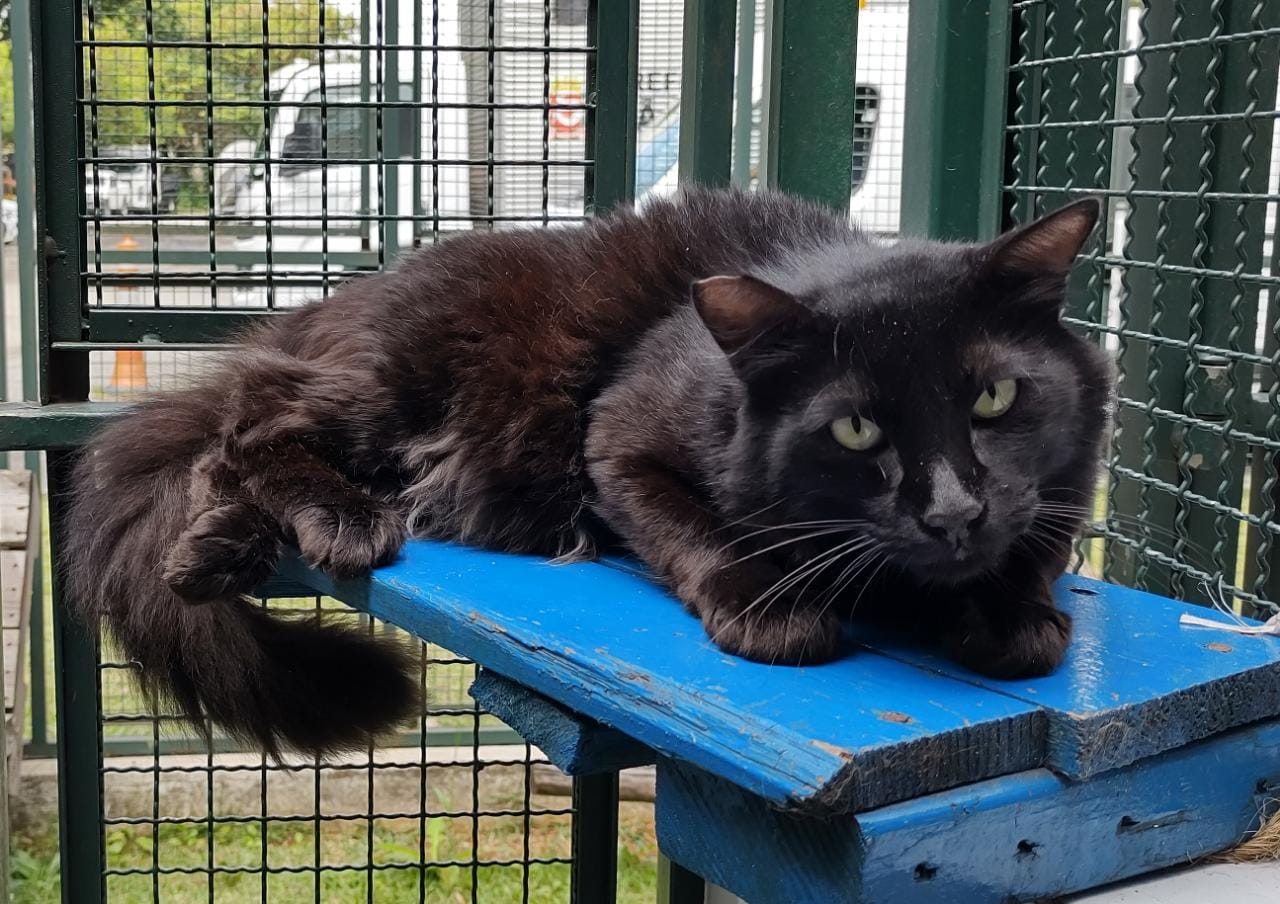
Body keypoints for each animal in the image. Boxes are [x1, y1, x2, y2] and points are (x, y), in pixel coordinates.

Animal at [67, 188, 1111, 752]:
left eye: (994, 400)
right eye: (856, 430)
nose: (951, 510)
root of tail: (341, 297)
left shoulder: (1050, 496)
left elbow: (1031, 561)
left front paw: (1011, 612)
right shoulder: (615, 442)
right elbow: (698, 534)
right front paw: (770, 609)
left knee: (227, 450)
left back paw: (216, 549)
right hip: (399, 392)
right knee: (251, 423)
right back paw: (331, 520)